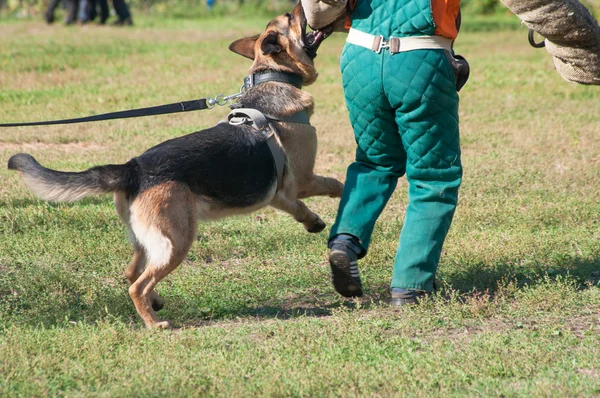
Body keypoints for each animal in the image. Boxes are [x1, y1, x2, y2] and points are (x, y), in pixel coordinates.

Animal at [7, 3, 342, 330]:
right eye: (290, 18)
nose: (300, 7)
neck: (274, 77)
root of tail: (133, 168)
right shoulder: (302, 179)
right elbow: (334, 183)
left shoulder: (280, 194)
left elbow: (300, 208)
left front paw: (313, 222)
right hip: (177, 241)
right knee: (137, 284)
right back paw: (154, 323)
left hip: (147, 241)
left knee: (131, 272)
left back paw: (155, 302)